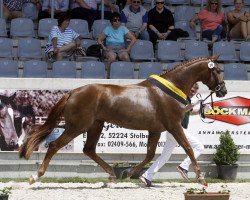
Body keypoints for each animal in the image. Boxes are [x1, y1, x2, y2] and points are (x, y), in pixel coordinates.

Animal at [19, 55, 227, 184]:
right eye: (217, 70)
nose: (223, 90)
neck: (168, 90)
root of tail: (73, 91)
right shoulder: (174, 126)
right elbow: (188, 148)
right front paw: (201, 178)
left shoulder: (156, 130)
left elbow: (150, 154)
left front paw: (129, 174)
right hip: (77, 127)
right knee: (54, 146)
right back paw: (35, 176)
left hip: (95, 126)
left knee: (89, 149)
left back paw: (112, 174)